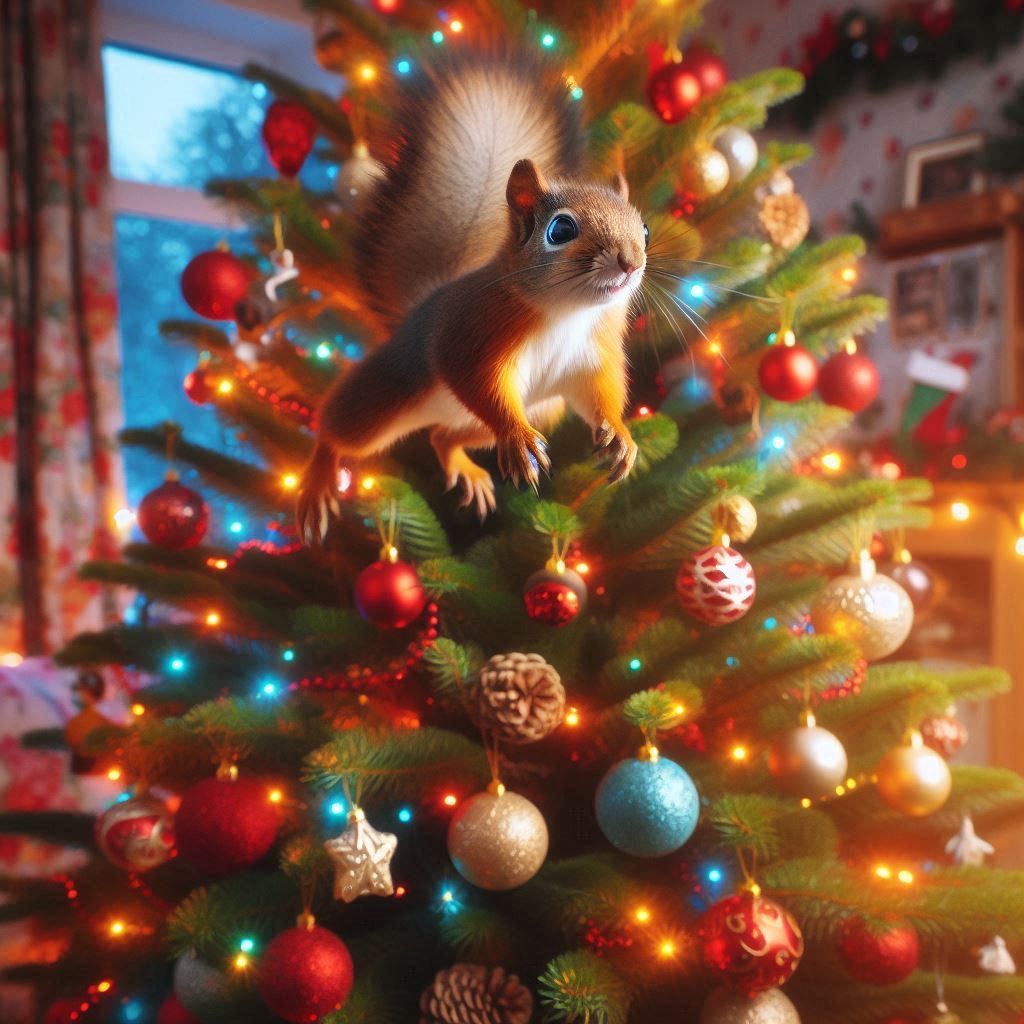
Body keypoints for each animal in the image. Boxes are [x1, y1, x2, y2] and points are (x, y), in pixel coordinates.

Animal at [298, 51, 648, 542]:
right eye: (561, 229)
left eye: (645, 229)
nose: (631, 262)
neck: (568, 313)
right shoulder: (472, 331)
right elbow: (477, 381)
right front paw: (516, 437)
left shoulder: (592, 356)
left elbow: (600, 394)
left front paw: (620, 436)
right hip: (389, 393)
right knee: (337, 429)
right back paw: (317, 481)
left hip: (540, 410)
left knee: (441, 436)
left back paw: (466, 467)